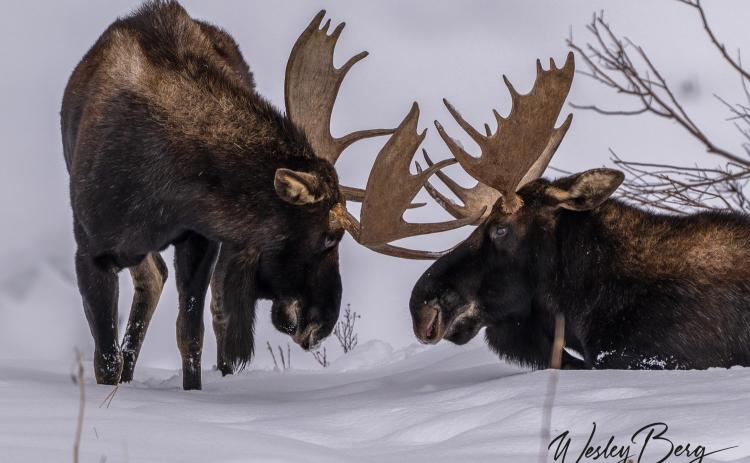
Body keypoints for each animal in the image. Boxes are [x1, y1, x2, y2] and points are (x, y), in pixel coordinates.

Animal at [61, 1, 476, 390]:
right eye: (329, 237)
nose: (322, 324)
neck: (165, 189)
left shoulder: (199, 239)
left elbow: (191, 335)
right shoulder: (90, 251)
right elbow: (105, 358)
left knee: (199, 300)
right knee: (153, 281)